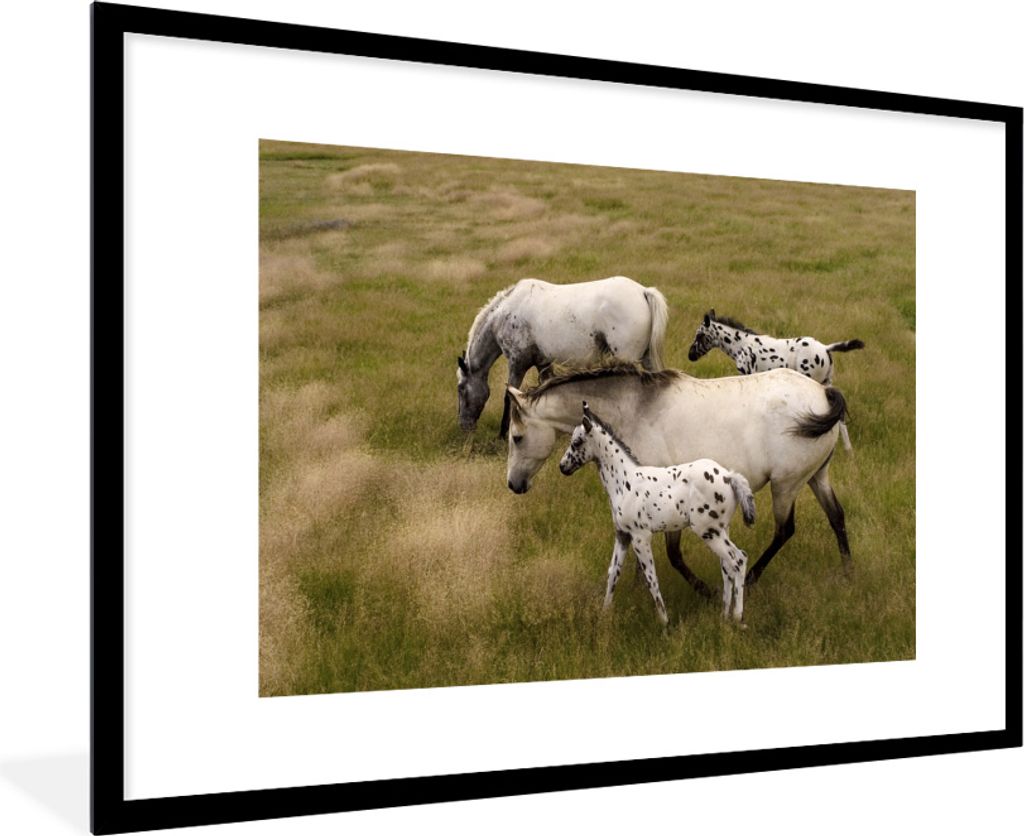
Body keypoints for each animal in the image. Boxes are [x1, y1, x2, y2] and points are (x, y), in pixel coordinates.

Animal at [457, 276, 669, 438]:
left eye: (461, 389)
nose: (464, 427)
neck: (504, 313)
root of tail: (643, 291)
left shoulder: (517, 364)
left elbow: (509, 397)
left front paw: (503, 433)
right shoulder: (542, 364)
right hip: (646, 359)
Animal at [505, 364, 850, 592]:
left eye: (517, 438)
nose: (513, 484)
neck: (633, 411)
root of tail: (823, 393)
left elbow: (673, 555)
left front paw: (704, 591)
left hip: (786, 485)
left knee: (784, 530)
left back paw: (751, 577)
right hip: (817, 477)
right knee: (836, 516)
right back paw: (849, 572)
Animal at [559, 401, 756, 624]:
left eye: (576, 442)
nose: (562, 466)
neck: (624, 482)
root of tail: (730, 477)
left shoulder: (640, 536)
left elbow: (651, 578)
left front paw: (664, 621)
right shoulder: (622, 535)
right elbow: (613, 574)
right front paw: (604, 614)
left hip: (708, 531)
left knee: (738, 560)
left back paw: (737, 617)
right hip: (721, 530)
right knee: (727, 568)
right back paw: (724, 615)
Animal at [687, 309, 864, 449]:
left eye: (700, 335)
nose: (690, 355)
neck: (742, 345)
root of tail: (826, 349)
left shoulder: (748, 373)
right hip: (827, 383)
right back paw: (848, 450)